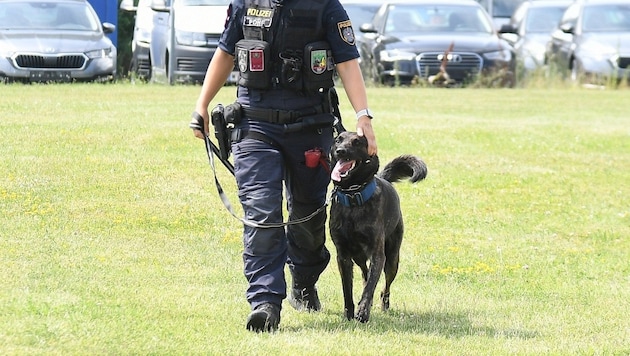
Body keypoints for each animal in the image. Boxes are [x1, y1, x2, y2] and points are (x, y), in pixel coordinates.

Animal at [328, 131, 428, 322]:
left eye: (357, 142)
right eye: (338, 140)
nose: (340, 151)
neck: (353, 197)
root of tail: (382, 177)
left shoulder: (378, 255)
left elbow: (370, 287)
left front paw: (363, 312)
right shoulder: (343, 256)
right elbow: (347, 289)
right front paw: (349, 313)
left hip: (392, 259)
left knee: (383, 286)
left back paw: (383, 304)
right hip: (359, 257)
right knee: (365, 274)